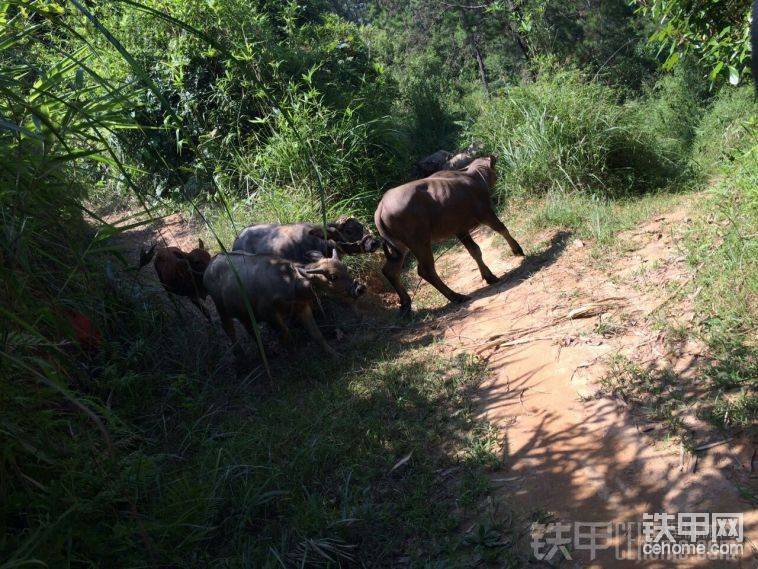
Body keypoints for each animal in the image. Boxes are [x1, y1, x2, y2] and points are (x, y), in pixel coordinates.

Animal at [203, 248, 366, 356]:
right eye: (333, 277)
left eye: (345, 268)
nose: (360, 288)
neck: (290, 283)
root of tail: (210, 265)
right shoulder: (269, 314)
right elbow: (286, 334)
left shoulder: (303, 308)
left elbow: (316, 334)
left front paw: (333, 354)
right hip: (221, 308)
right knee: (229, 329)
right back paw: (240, 356)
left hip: (245, 313)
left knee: (251, 330)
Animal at [372, 155, 524, 312]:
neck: (473, 177)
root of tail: (381, 207)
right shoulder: (486, 214)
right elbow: (502, 229)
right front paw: (517, 249)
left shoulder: (460, 230)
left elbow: (475, 250)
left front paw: (489, 276)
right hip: (420, 243)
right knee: (425, 270)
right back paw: (456, 296)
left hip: (400, 249)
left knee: (390, 271)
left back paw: (406, 304)